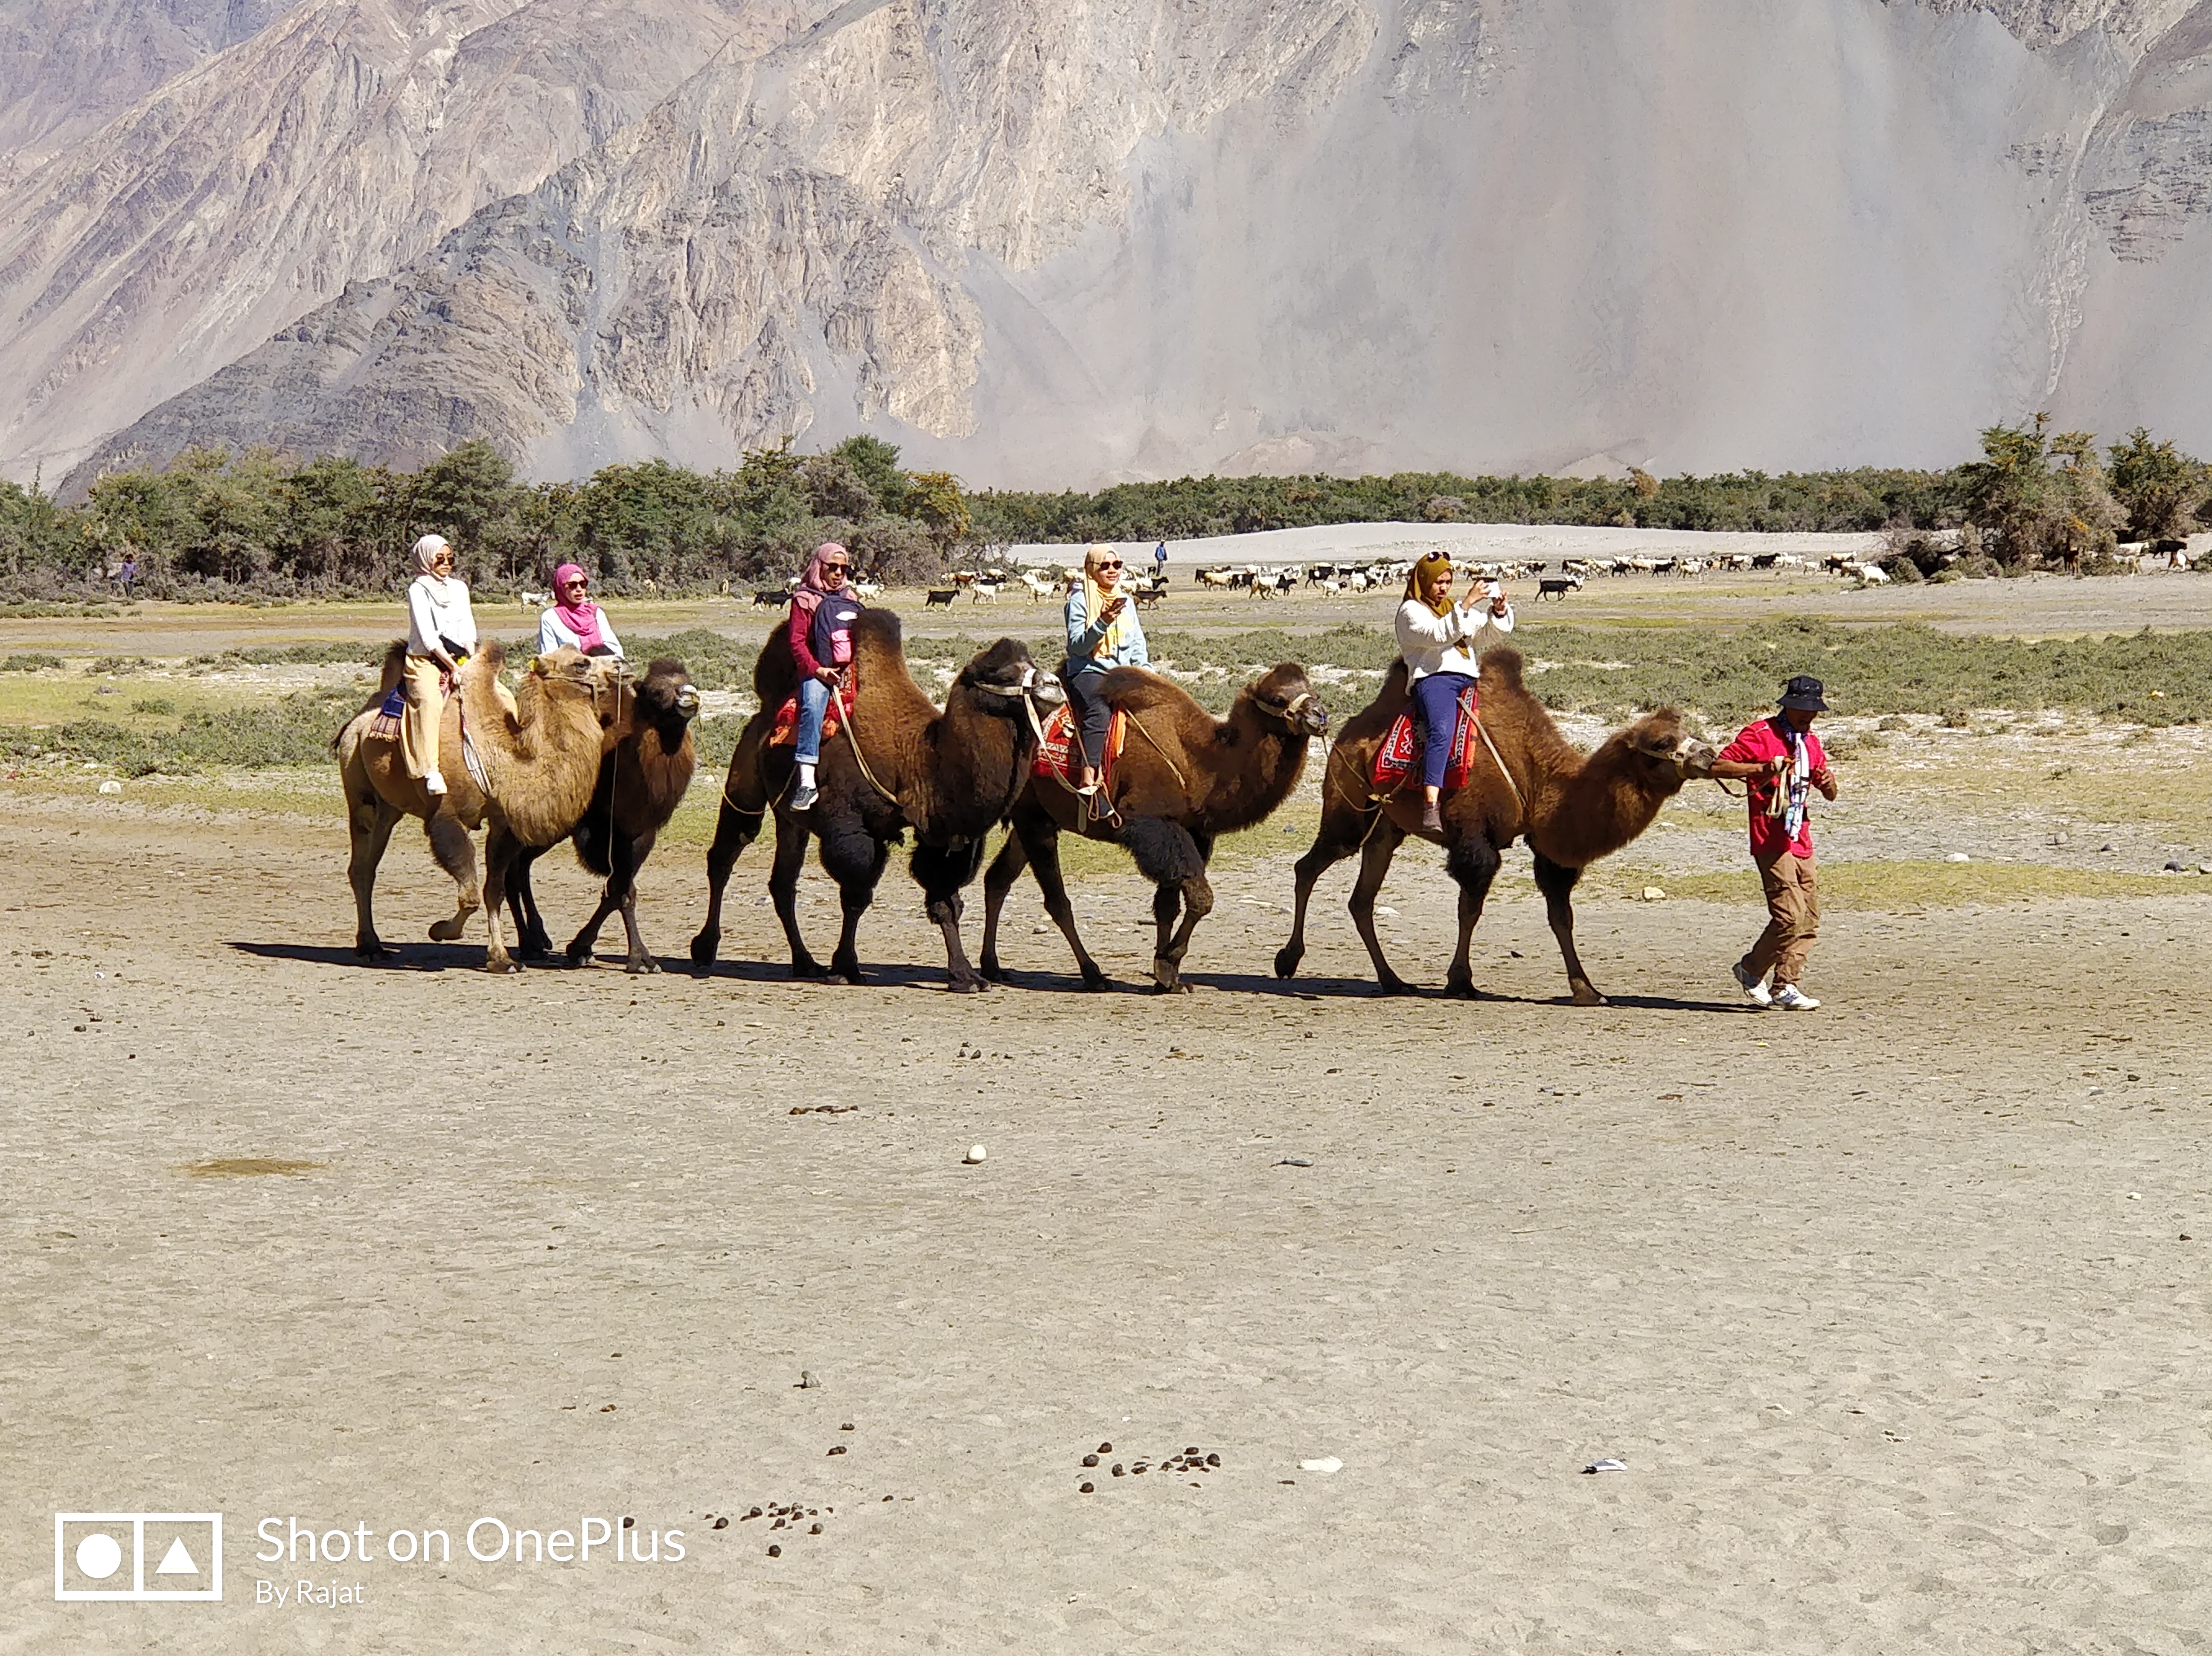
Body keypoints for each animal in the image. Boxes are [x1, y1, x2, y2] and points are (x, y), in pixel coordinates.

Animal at [332, 637, 623, 969]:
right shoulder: (445, 815)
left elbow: (493, 889)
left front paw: (501, 958)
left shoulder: (502, 823)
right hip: (360, 790)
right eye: (581, 664)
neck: (498, 756)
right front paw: (441, 931)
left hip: (389, 808)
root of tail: (355, 724)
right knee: (361, 867)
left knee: (369, 863)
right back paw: (370, 946)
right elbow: (469, 891)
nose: (620, 664)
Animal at [506, 655, 699, 969]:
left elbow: (620, 890)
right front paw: (640, 959)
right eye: (655, 692)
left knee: (521, 866)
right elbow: (620, 891)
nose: (690, 697)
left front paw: (583, 948)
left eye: (687, 680)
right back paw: (529, 943)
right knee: (512, 869)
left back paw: (539, 938)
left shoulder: (640, 835)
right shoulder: (605, 829)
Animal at [694, 611, 1066, 991]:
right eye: (1003, 674)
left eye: (1031, 664)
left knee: (783, 882)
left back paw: (805, 962)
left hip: (790, 819)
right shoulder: (852, 828)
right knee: (726, 854)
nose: (1054, 685)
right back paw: (705, 949)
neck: (919, 759)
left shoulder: (943, 835)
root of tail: (763, 715)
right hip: (745, 781)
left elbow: (946, 900)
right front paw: (846, 967)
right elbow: (856, 896)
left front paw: (966, 976)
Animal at [987, 664, 1327, 996]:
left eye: (1312, 688)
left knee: (998, 878)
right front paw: (1167, 963)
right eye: (1278, 699)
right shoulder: (1151, 824)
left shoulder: (1190, 831)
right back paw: (1092, 974)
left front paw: (1169, 979)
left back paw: (993, 967)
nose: (1320, 715)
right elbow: (1201, 898)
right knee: (1057, 901)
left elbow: (1168, 905)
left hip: (1038, 817)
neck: (1198, 762)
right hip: (1033, 817)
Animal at [1274, 651, 1716, 1000]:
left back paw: (1393, 980)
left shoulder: (1546, 847)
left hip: (1386, 828)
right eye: (1661, 743)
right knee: (1309, 867)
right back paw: (1288, 961)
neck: (1537, 775)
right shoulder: (1474, 837)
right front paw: (1461, 981)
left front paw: (1587, 989)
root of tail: (1345, 731)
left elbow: (1561, 915)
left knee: (1360, 899)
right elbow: (1470, 908)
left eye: (1688, 729)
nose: (1709, 754)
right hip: (1349, 808)